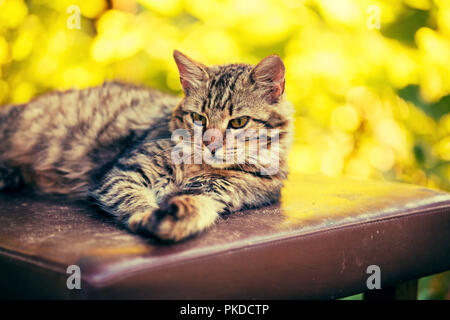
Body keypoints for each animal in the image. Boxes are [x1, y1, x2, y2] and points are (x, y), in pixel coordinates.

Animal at [0, 50, 294, 240]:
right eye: (199, 118)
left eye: (239, 122)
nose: (209, 144)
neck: (195, 168)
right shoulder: (123, 173)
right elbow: (135, 200)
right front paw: (148, 216)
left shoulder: (217, 191)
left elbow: (199, 206)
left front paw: (178, 218)